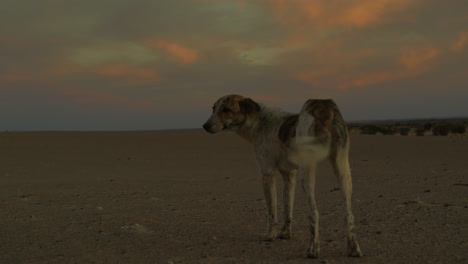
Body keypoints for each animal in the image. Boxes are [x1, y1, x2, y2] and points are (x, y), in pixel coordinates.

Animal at [201, 95, 362, 258]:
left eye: (226, 109)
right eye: (213, 108)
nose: (205, 126)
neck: (257, 120)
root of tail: (324, 106)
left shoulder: (268, 174)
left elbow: (272, 212)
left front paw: (270, 236)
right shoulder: (289, 175)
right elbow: (287, 208)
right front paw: (285, 234)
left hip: (307, 173)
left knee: (314, 213)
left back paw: (313, 250)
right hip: (343, 169)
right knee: (349, 214)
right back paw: (353, 249)